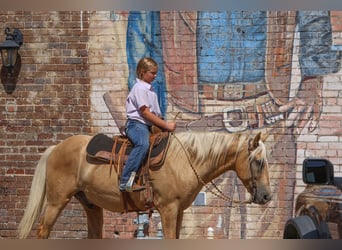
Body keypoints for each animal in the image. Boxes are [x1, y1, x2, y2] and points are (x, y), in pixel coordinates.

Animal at [18, 131, 272, 238]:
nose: (267, 197)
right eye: (258, 162)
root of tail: (55, 148)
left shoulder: (178, 211)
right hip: (56, 201)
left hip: (91, 205)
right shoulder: (168, 209)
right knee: (43, 230)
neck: (184, 160)